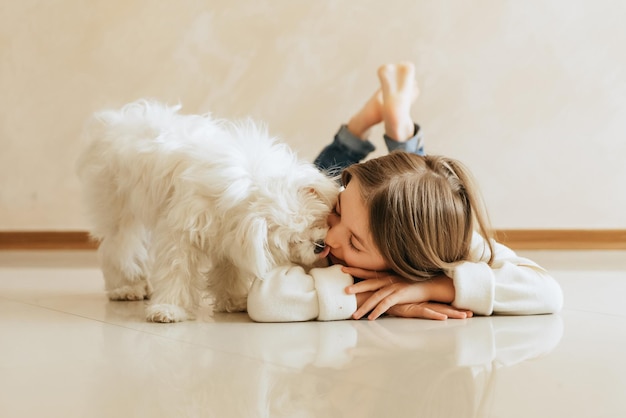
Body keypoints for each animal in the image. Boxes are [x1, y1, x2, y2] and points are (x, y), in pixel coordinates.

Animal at [76, 100, 338, 324]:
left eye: (316, 221)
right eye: (293, 240)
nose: (319, 246)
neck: (252, 184)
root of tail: (113, 120)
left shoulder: (229, 236)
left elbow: (229, 271)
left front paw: (234, 300)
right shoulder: (182, 232)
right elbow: (177, 270)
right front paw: (169, 310)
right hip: (118, 210)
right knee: (120, 248)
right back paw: (127, 288)